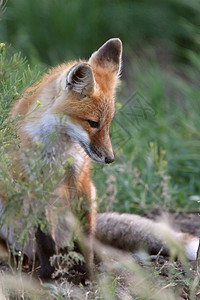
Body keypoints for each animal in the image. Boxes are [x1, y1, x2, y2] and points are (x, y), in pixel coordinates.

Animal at [0, 38, 198, 280]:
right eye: (93, 123)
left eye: (108, 123)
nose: (110, 158)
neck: (58, 150)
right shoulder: (35, 184)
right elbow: (45, 237)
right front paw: (48, 275)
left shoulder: (79, 180)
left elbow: (84, 238)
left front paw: (88, 274)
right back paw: (23, 261)